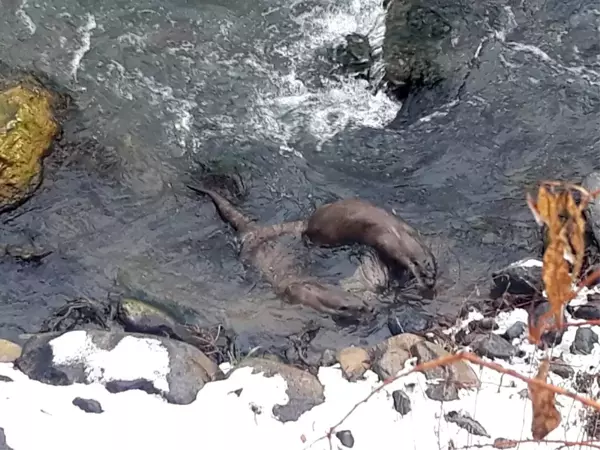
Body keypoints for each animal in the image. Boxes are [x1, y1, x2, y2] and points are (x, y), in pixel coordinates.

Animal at [188, 185, 370, 318]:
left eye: (361, 300)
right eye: (357, 308)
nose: (368, 308)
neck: (315, 291)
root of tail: (254, 229)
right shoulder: (295, 293)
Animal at [304, 199, 436, 290]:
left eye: (434, 274)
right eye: (423, 274)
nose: (430, 285)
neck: (400, 237)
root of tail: (310, 224)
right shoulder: (386, 245)